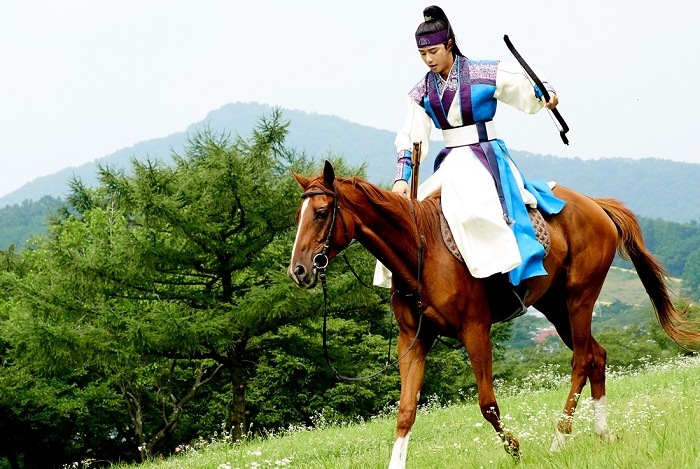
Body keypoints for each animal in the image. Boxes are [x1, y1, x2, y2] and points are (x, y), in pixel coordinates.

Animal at [287, 160, 700, 468]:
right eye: (298, 216)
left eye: (321, 213)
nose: (299, 270)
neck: (422, 251)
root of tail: (596, 205)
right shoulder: (414, 340)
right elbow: (405, 410)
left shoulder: (475, 330)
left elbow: (487, 403)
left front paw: (515, 449)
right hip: (555, 307)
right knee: (597, 356)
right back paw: (602, 434)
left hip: (579, 299)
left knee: (582, 360)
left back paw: (559, 439)